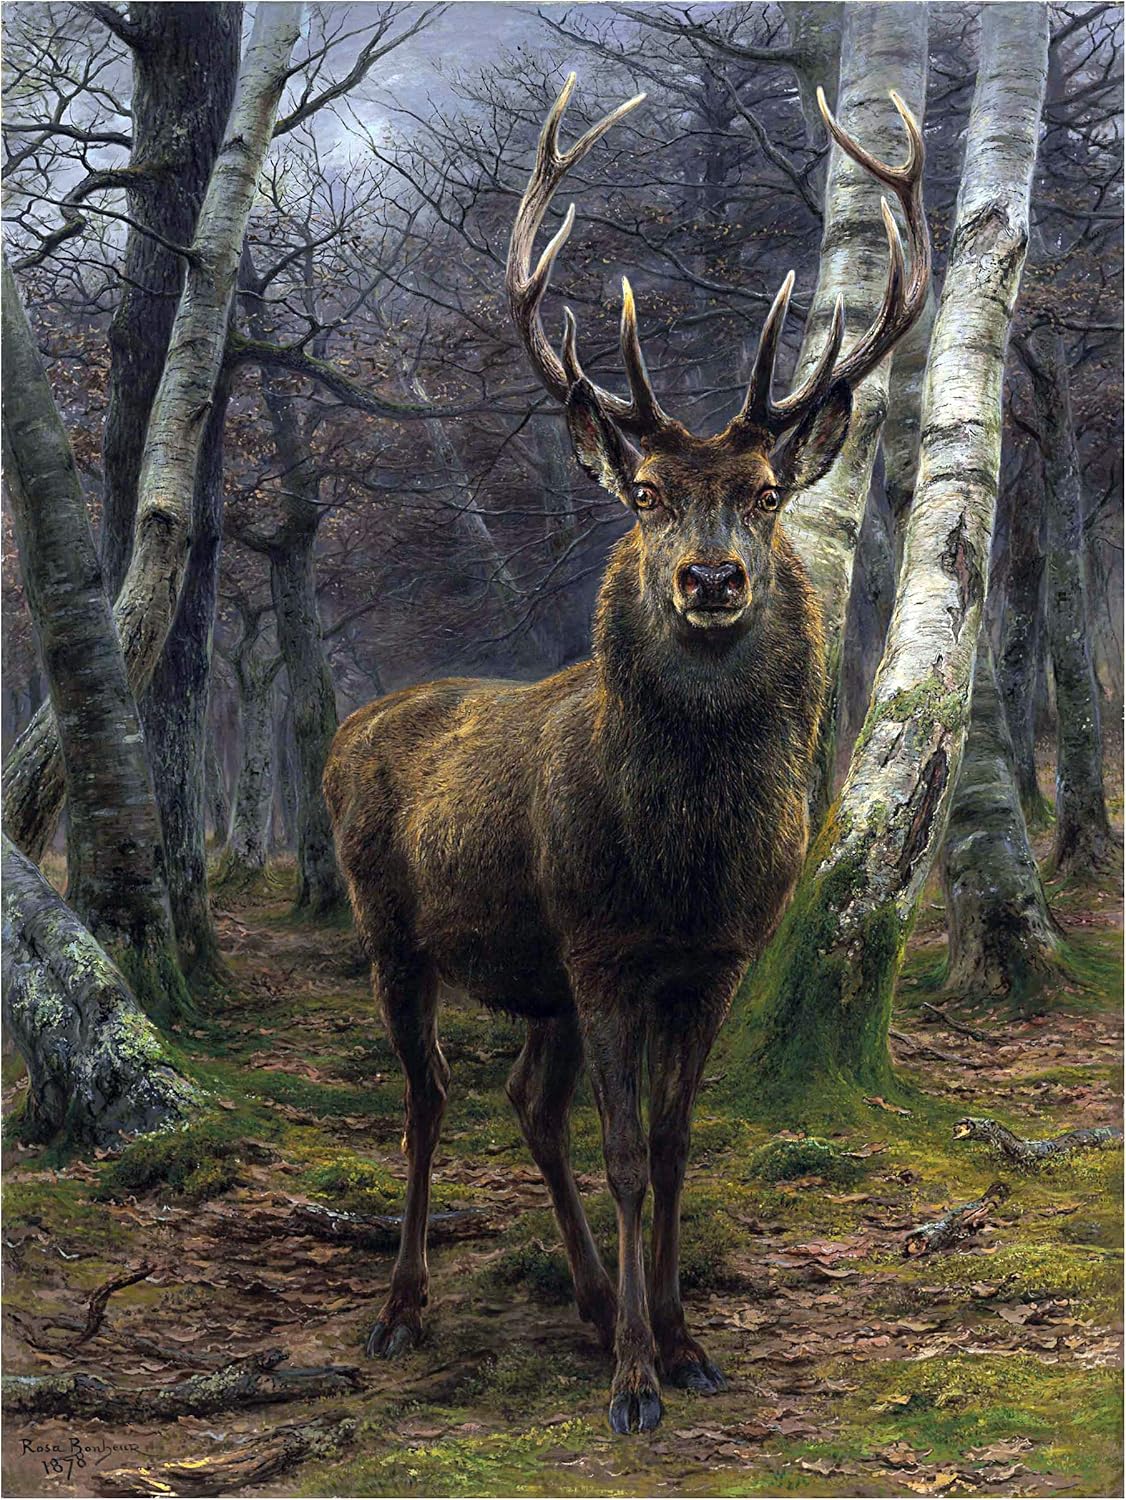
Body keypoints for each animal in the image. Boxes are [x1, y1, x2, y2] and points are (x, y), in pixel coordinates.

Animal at [324, 75, 929, 1434]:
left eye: (764, 492)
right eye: (647, 494)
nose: (709, 579)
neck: (681, 864)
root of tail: (349, 727)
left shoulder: (709, 960)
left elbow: (669, 1145)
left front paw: (685, 1342)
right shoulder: (601, 947)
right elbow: (619, 1153)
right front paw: (638, 1385)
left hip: (534, 970)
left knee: (522, 1104)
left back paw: (598, 1304)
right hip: (392, 927)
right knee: (430, 1099)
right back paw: (403, 1310)